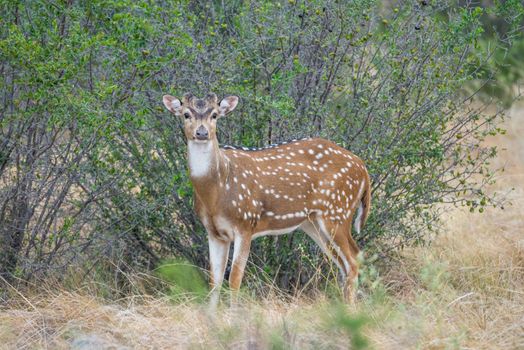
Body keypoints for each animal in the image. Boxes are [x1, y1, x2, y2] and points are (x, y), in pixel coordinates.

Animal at [162, 92, 370, 306]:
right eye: (186, 114)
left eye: (214, 115)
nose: (202, 133)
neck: (216, 193)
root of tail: (363, 168)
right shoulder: (214, 232)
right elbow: (214, 281)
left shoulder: (246, 223)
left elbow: (234, 278)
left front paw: (232, 313)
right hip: (313, 223)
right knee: (348, 262)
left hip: (337, 211)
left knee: (353, 261)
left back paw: (350, 309)